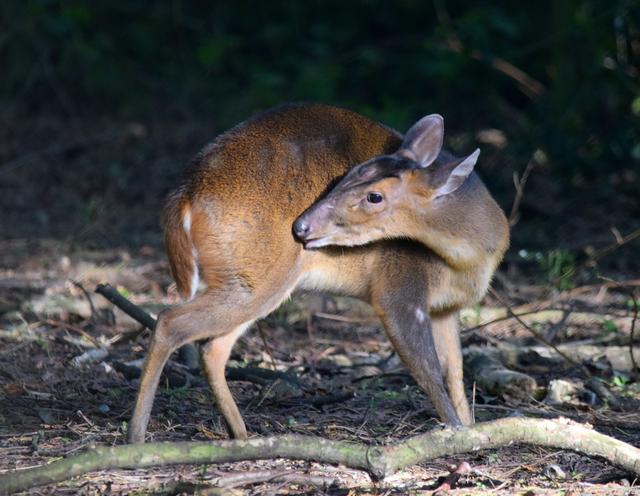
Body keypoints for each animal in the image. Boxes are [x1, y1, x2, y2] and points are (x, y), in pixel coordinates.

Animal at [129, 102, 510, 444]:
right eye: (350, 173)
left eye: (374, 195)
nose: (302, 226)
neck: (469, 260)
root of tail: (184, 197)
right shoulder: (399, 290)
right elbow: (429, 371)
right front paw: (457, 434)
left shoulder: (447, 309)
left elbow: (456, 371)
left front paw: (471, 426)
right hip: (259, 276)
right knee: (170, 322)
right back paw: (137, 436)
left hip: (249, 279)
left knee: (212, 347)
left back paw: (241, 436)